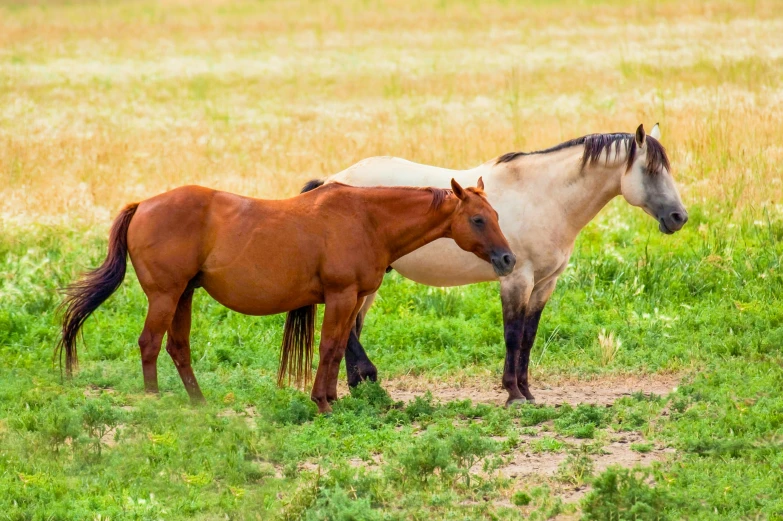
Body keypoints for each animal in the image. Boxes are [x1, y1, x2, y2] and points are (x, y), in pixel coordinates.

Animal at [59, 178, 516, 410]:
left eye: (496, 214)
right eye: (478, 219)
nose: (508, 259)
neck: (367, 218)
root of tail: (144, 204)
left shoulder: (350, 301)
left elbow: (336, 350)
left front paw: (330, 398)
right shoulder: (341, 297)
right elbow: (329, 347)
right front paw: (323, 403)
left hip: (184, 295)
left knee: (177, 347)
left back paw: (199, 402)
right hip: (166, 295)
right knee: (150, 343)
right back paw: (155, 401)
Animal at [304, 124, 688, 404]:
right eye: (650, 170)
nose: (679, 217)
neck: (545, 197)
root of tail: (332, 181)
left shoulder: (545, 283)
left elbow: (529, 337)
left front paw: (527, 391)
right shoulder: (517, 279)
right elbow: (512, 335)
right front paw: (513, 393)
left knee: (352, 329)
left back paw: (360, 387)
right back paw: (367, 379)